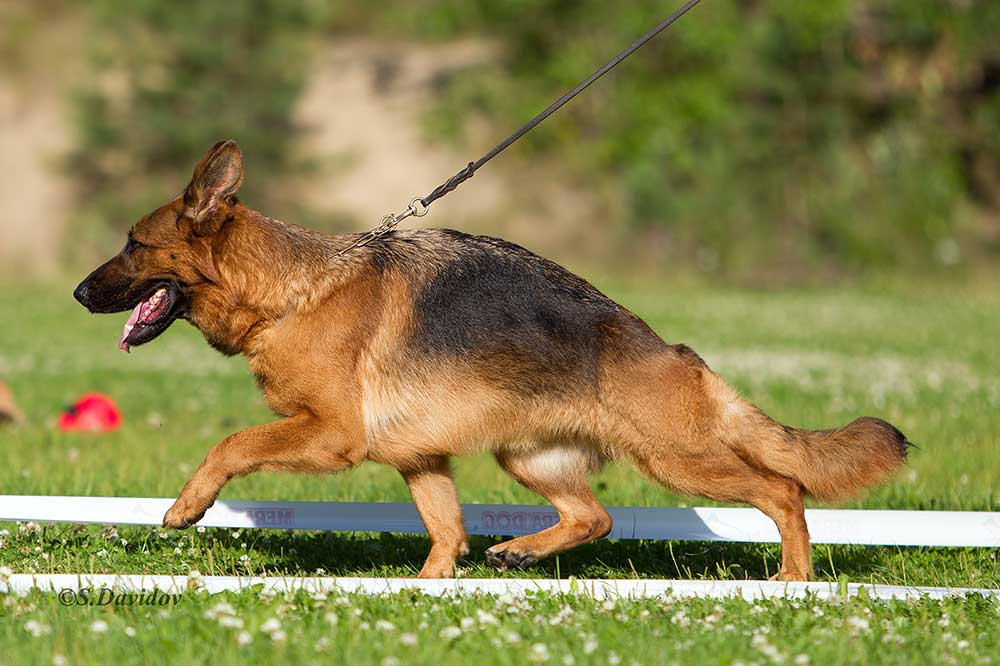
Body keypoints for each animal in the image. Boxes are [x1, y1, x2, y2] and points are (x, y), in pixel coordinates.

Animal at [74, 140, 912, 576]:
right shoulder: (420, 458)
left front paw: (187, 505)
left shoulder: (331, 435)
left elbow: (231, 443)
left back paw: (792, 578)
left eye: (133, 244)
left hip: (678, 460)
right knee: (596, 515)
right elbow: (446, 533)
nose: (79, 293)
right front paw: (428, 591)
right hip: (528, 457)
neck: (292, 291)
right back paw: (518, 550)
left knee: (784, 492)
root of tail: (675, 353)